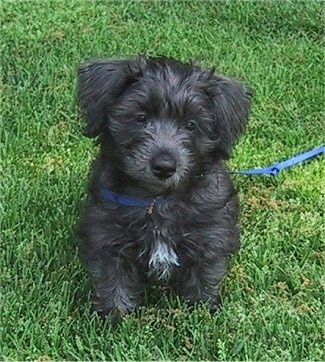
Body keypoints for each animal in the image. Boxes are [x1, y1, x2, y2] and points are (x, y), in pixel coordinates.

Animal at [76, 54, 251, 322]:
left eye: (191, 124)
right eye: (141, 118)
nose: (165, 166)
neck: (157, 201)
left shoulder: (211, 237)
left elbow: (205, 277)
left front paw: (202, 312)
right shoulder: (107, 238)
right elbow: (113, 282)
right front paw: (114, 318)